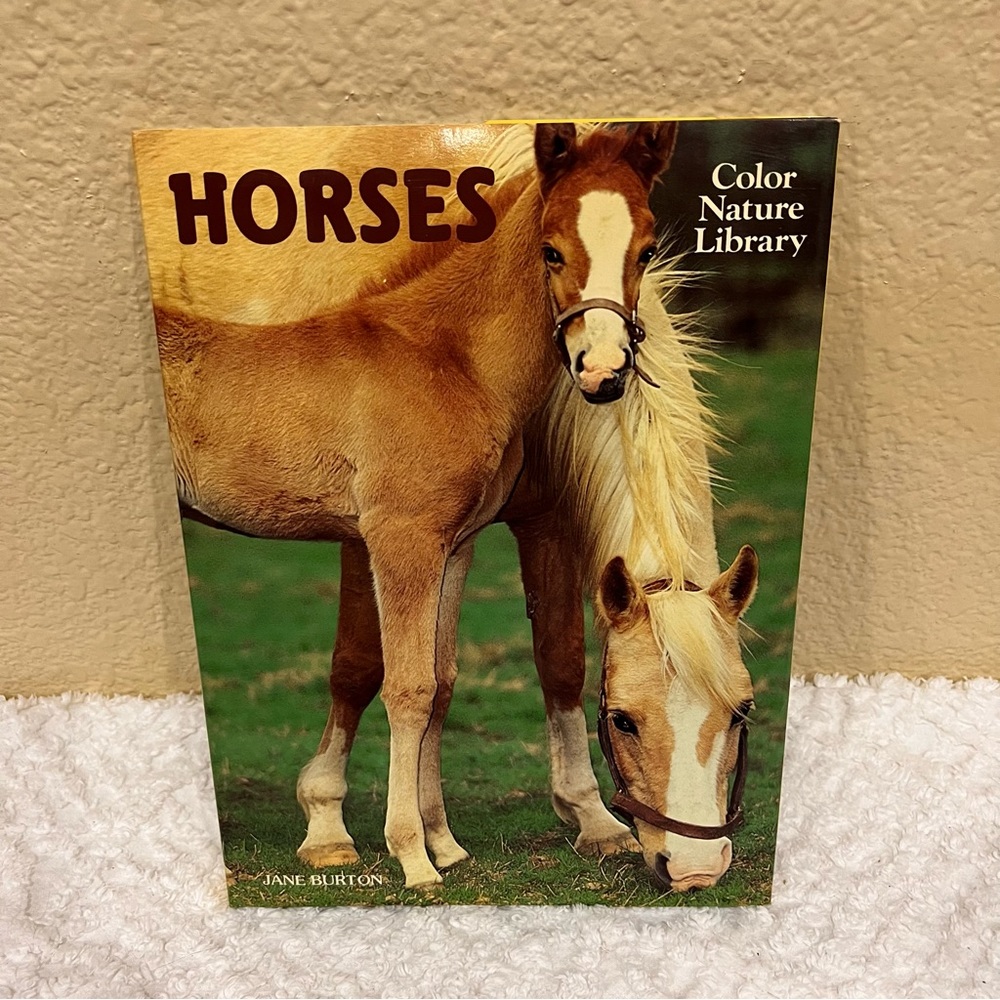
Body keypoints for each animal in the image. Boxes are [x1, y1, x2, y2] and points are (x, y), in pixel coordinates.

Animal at [146, 121, 678, 888]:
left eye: (647, 249)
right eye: (551, 249)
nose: (603, 372)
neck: (448, 355)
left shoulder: (454, 544)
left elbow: (443, 682)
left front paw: (443, 842)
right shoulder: (403, 539)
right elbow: (407, 688)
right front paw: (411, 857)